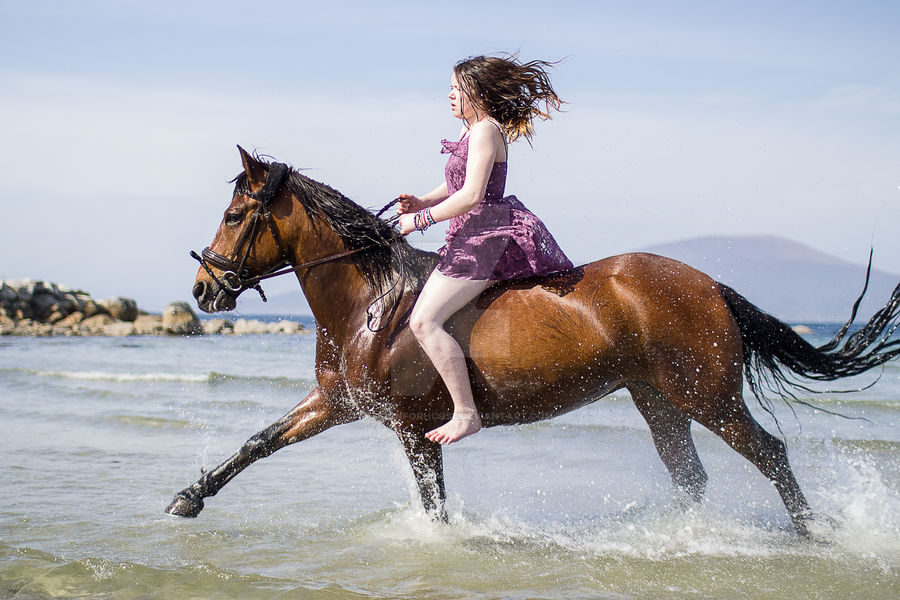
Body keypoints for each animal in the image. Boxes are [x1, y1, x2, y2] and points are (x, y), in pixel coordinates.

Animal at [165, 144, 900, 536]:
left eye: (235, 214)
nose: (203, 290)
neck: (371, 302)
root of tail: (710, 284)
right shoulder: (337, 403)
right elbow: (258, 443)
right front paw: (189, 497)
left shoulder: (412, 427)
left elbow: (436, 509)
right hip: (657, 399)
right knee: (689, 475)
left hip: (706, 397)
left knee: (770, 454)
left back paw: (815, 536)